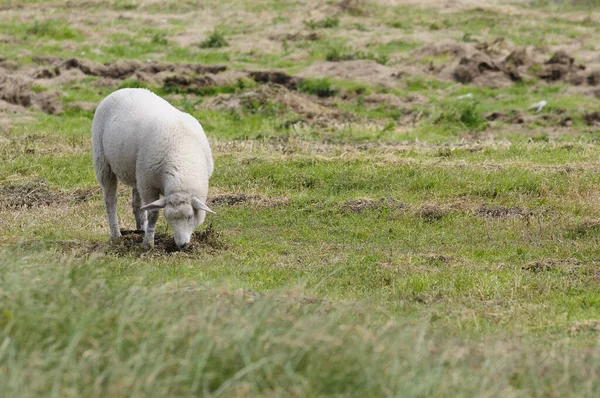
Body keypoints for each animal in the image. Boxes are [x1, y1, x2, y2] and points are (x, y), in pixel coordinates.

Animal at [92, 88, 214, 249]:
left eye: (189, 217)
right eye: (168, 218)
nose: (182, 245)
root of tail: (124, 89)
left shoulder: (145, 180)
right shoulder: (149, 186)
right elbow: (153, 214)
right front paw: (148, 243)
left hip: (137, 172)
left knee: (137, 202)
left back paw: (140, 229)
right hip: (103, 164)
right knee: (110, 201)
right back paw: (116, 234)